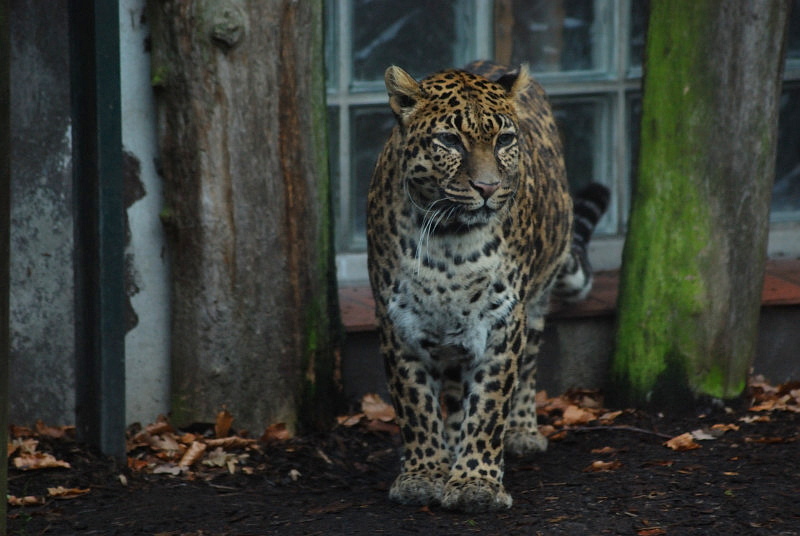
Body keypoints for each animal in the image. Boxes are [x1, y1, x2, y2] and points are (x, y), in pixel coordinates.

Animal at [366, 60, 609, 512]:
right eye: (449, 140)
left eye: (505, 140)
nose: (488, 187)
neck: (450, 243)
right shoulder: (398, 322)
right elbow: (416, 405)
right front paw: (423, 474)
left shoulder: (502, 323)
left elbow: (489, 405)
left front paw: (475, 483)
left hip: (535, 306)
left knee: (527, 369)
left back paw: (521, 433)